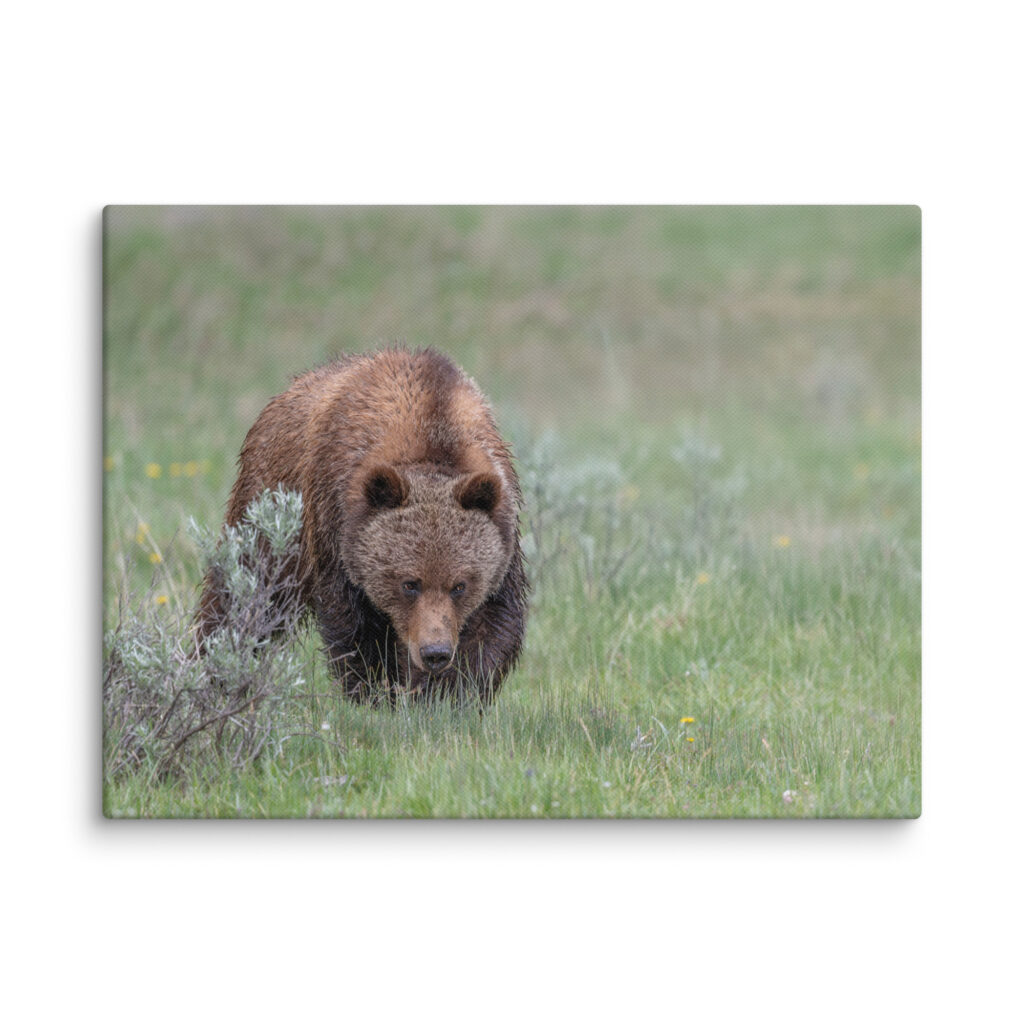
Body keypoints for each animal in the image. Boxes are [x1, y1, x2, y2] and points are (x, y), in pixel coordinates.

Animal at [195, 346, 528, 705]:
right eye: (409, 583)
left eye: (460, 585)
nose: (435, 652)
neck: (432, 433)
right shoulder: (336, 526)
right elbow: (356, 628)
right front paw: (376, 693)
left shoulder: (503, 534)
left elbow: (492, 626)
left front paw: (447, 695)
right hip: (270, 507)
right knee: (244, 592)